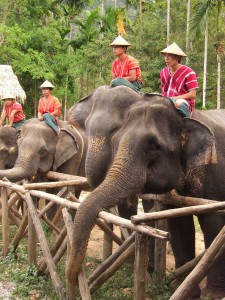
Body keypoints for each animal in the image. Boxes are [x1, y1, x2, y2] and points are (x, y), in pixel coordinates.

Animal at [66, 88, 225, 298]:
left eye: (153, 146)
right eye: (116, 140)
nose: (75, 281)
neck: (185, 118)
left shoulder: (214, 173)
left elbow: (213, 224)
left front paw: (211, 296)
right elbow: (179, 226)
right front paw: (184, 290)